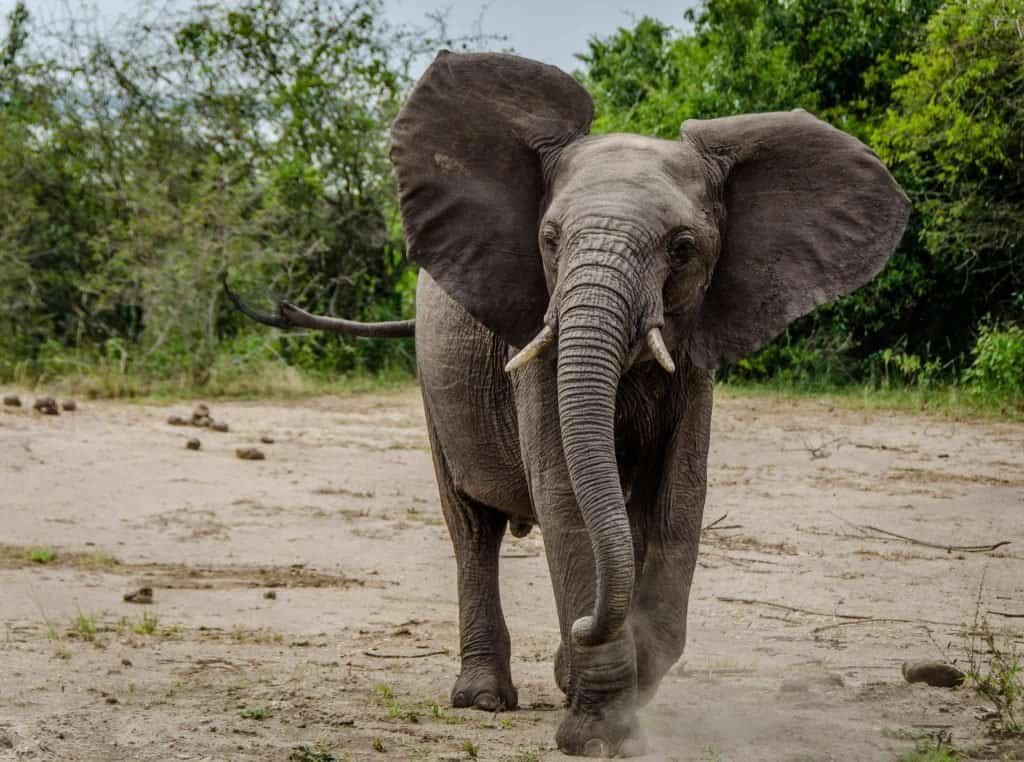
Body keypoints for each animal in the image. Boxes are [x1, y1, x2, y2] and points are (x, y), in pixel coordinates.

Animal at [226, 51, 910, 757]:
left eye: (682, 248)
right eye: (550, 240)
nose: (585, 627)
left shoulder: (696, 356)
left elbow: (677, 500)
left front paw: (611, 675)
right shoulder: (534, 338)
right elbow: (564, 497)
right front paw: (598, 733)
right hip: (433, 384)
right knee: (470, 527)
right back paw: (484, 699)